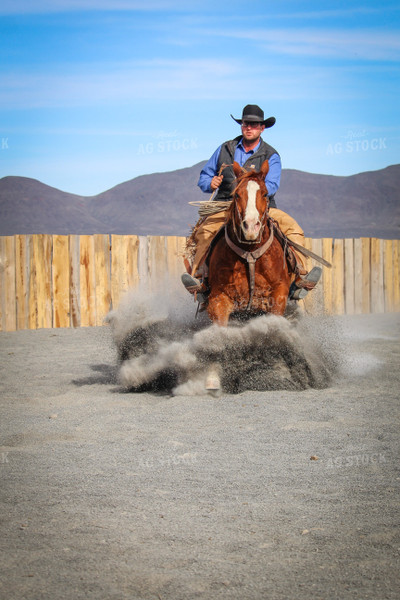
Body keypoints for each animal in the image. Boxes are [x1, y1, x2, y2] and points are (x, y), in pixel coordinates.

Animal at [205, 159, 292, 326]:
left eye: (265, 194)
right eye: (237, 195)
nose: (251, 226)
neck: (250, 253)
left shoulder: (279, 293)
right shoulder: (218, 297)